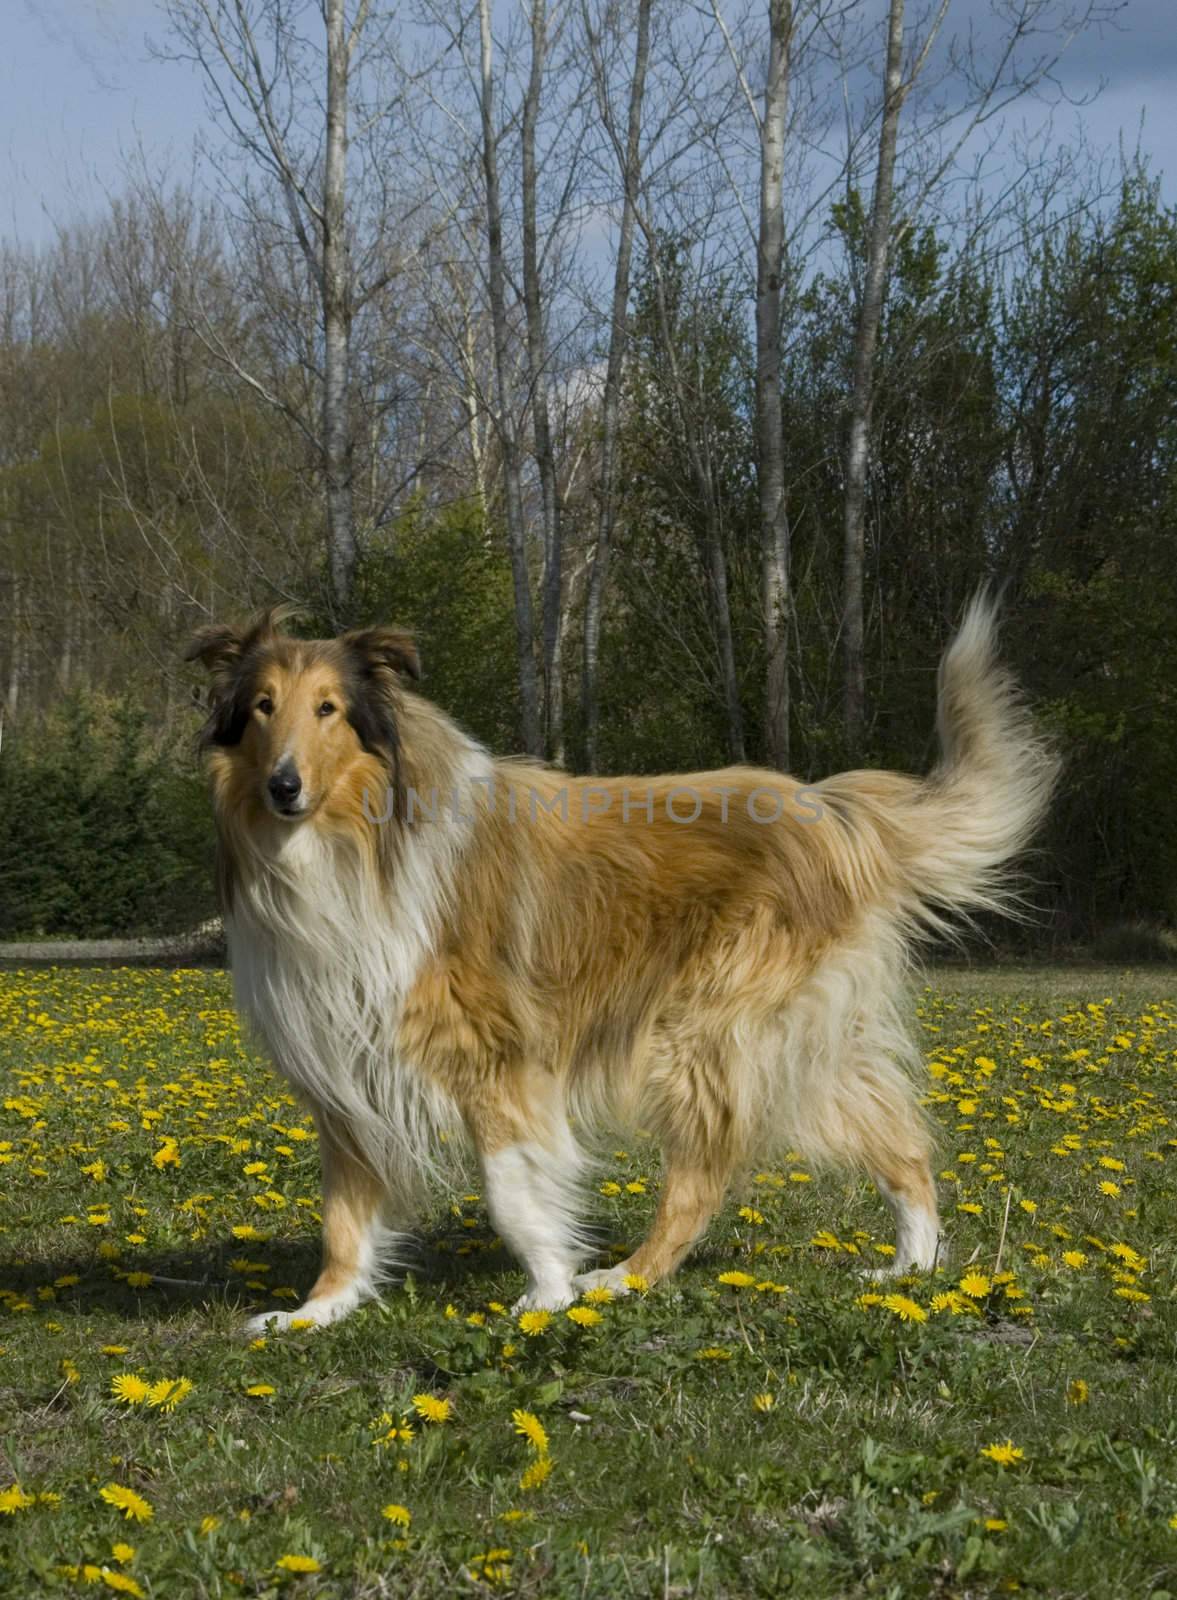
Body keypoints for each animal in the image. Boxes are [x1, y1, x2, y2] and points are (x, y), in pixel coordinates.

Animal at [188, 595, 1055, 1331]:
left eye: (328, 709)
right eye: (262, 706)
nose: (284, 786)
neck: (354, 845)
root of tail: (830, 808)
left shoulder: (492, 1055)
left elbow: (511, 1188)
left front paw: (548, 1291)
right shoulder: (343, 1063)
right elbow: (343, 1214)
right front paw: (316, 1310)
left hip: (699, 1036)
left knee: (700, 1182)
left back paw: (628, 1275)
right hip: (805, 1042)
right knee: (898, 1139)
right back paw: (911, 1265)